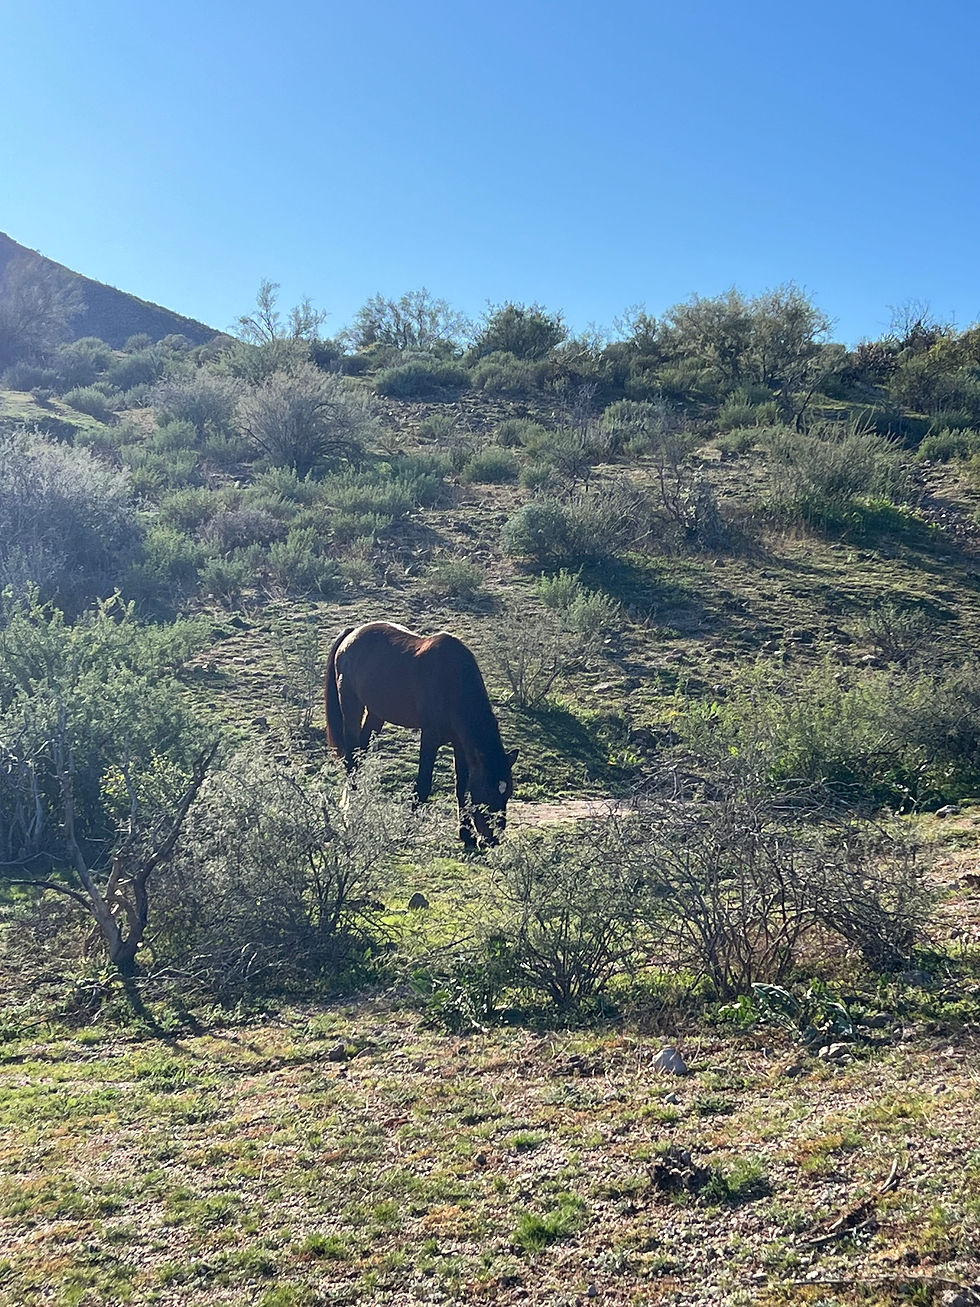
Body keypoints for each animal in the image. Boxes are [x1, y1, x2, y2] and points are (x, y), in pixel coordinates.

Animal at [325, 621, 518, 848]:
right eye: (487, 791)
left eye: (508, 793)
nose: (492, 840)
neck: (452, 682)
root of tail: (352, 633)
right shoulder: (430, 737)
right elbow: (423, 784)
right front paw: (406, 832)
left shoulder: (460, 744)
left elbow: (461, 787)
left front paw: (466, 835)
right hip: (352, 708)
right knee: (351, 760)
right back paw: (350, 810)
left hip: (376, 715)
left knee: (360, 756)